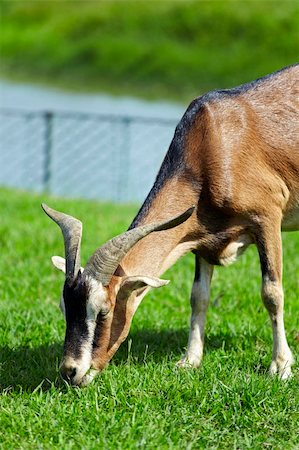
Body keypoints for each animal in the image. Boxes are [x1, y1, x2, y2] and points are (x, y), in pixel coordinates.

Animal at [43, 64, 298, 386]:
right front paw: (190, 361)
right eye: (65, 307)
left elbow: (272, 293)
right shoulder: (202, 236)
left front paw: (281, 366)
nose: (71, 371)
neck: (216, 145)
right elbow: (199, 297)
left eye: (103, 312)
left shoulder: (267, 218)